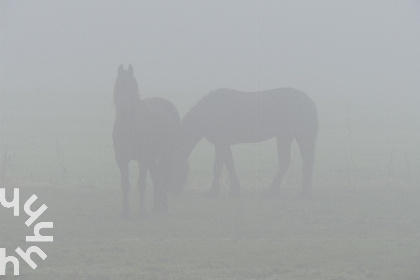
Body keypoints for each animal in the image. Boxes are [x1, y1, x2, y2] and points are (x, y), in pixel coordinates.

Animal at [112, 64, 180, 218]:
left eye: (132, 86)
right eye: (118, 86)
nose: (123, 109)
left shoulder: (143, 158)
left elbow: (141, 184)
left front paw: (141, 212)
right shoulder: (121, 158)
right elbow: (125, 184)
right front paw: (125, 212)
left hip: (167, 155)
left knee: (164, 177)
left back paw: (163, 206)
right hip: (152, 158)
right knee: (156, 176)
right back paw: (157, 205)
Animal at [172, 88, 316, 198]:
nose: (174, 191)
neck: (209, 112)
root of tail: (309, 102)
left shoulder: (221, 143)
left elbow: (218, 167)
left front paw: (213, 192)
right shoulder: (224, 144)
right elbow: (230, 165)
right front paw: (234, 190)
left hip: (301, 137)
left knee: (304, 161)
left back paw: (301, 192)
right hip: (284, 137)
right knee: (287, 162)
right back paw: (274, 191)